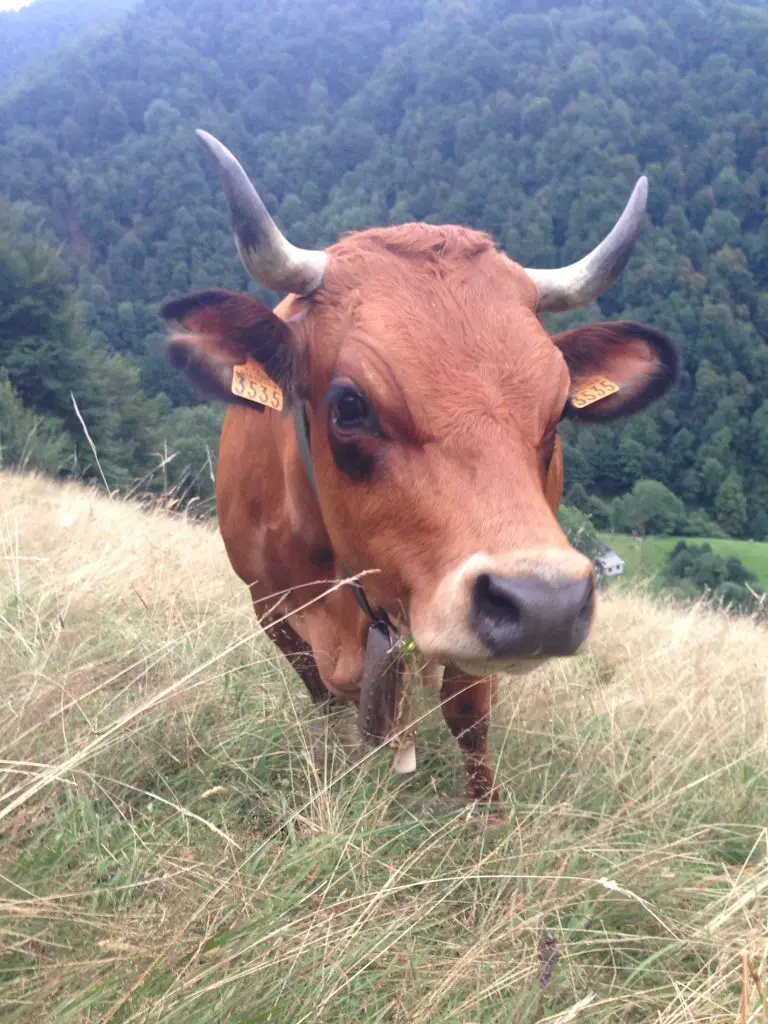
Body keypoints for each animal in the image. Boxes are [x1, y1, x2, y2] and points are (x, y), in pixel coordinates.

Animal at [160, 132, 679, 798]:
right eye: (349, 404)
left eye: (560, 409)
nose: (546, 604)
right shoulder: (270, 608)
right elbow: (324, 705)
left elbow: (468, 715)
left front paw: (487, 811)